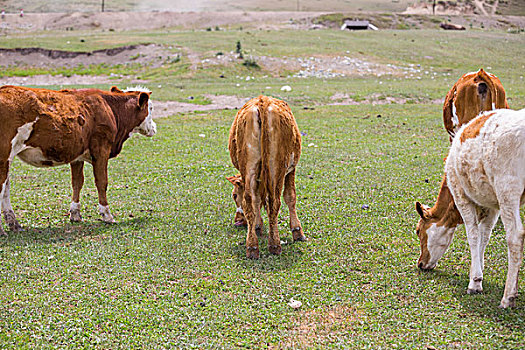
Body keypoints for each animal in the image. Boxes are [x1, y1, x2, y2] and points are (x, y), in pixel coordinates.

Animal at [0, 84, 156, 235]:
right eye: (151, 108)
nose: (154, 128)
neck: (110, 108)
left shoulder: (76, 156)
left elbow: (77, 183)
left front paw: (75, 214)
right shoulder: (101, 150)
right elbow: (101, 182)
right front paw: (107, 215)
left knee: (6, 189)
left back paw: (14, 225)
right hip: (4, 157)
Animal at [227, 94, 304, 258]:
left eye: (234, 195)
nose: (237, 220)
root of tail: (262, 101)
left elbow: (257, 200)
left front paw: (257, 226)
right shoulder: (291, 170)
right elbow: (290, 197)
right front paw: (297, 231)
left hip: (249, 166)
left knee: (250, 201)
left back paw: (252, 247)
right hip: (277, 167)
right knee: (274, 202)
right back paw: (274, 244)